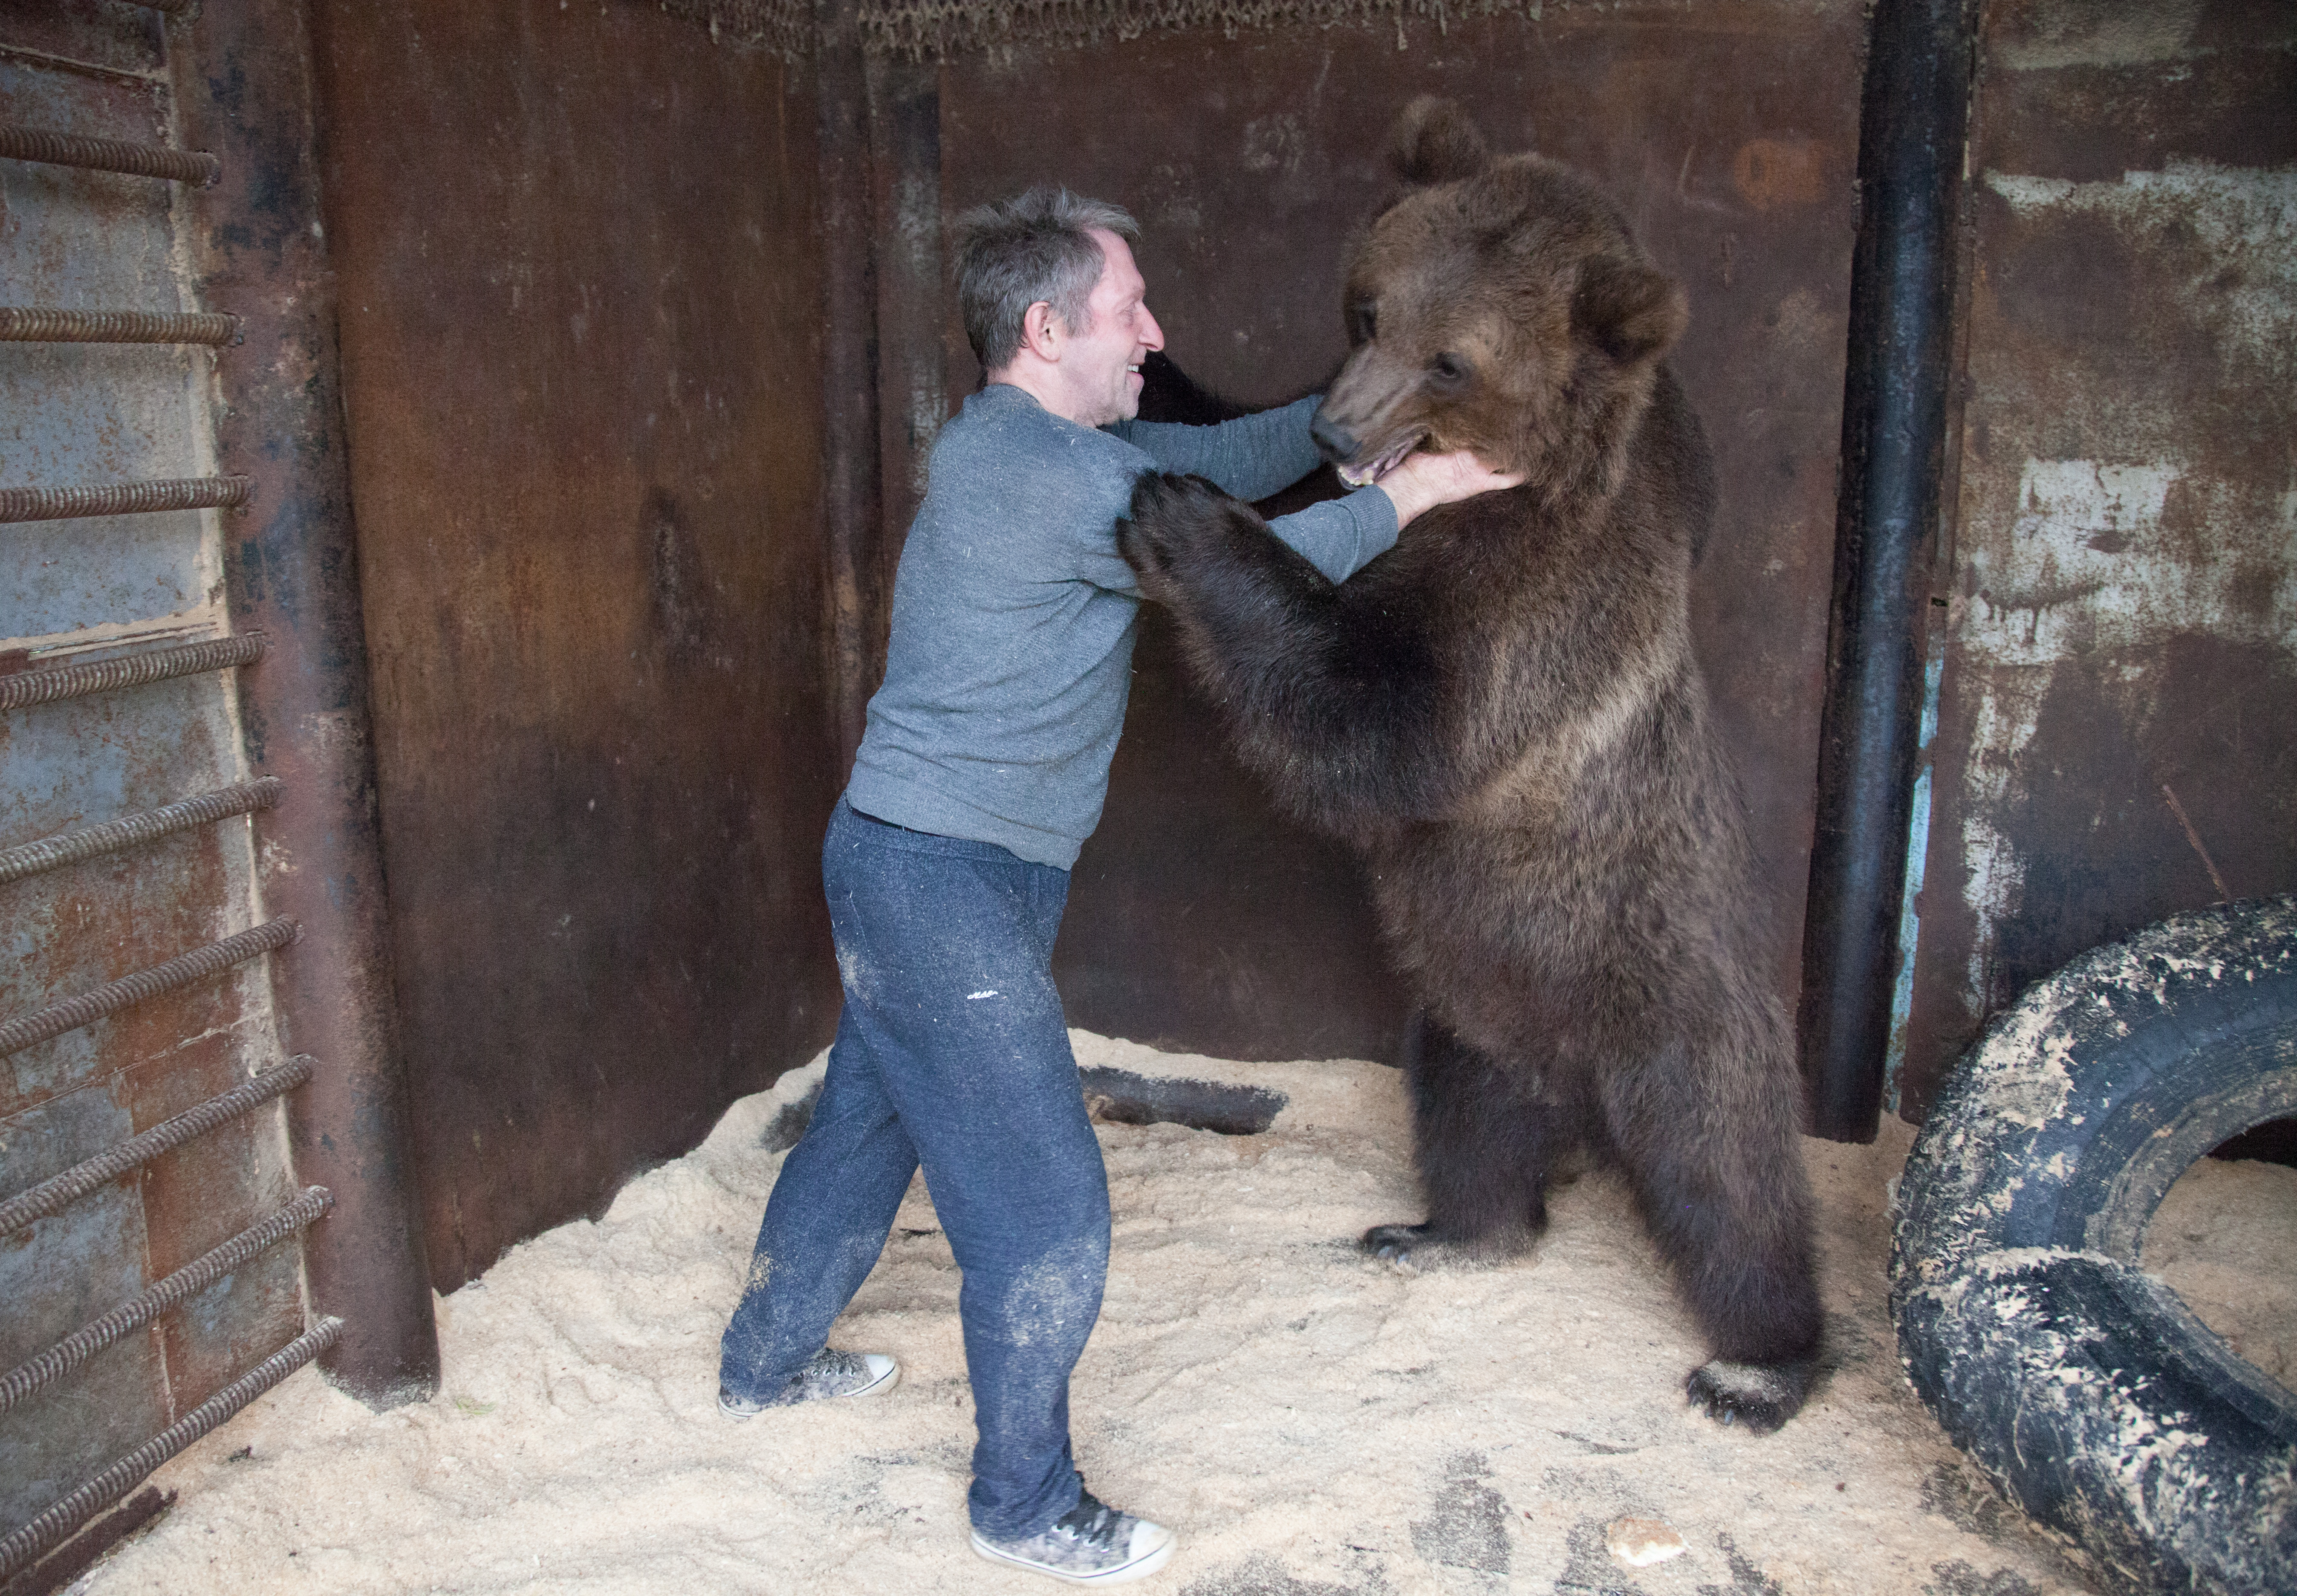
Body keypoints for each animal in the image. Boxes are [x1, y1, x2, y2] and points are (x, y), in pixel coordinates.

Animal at [1121, 97, 1819, 1433]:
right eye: (1366, 307)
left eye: (1452, 358)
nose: (1341, 422)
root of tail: (1580, 1094)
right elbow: (1247, 448)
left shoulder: (1537, 597)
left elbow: (1386, 729)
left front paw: (1182, 518)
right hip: (1470, 999)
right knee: (1468, 1116)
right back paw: (1442, 1230)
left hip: (1669, 995)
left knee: (1725, 1176)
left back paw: (1757, 1360)